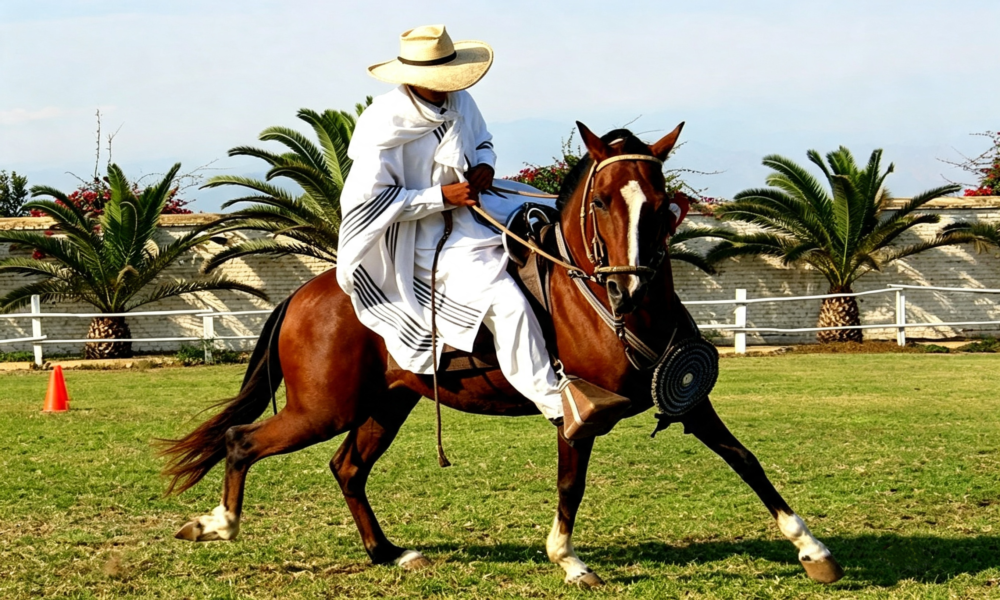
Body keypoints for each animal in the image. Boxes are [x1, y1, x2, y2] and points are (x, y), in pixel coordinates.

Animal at [160, 122, 844, 588]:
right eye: (602, 201)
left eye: (660, 201)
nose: (630, 288)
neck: (600, 304)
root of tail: (309, 291)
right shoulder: (577, 415)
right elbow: (572, 484)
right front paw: (568, 560)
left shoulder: (686, 399)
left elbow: (745, 460)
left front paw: (811, 548)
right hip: (322, 408)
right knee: (243, 442)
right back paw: (216, 524)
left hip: (385, 405)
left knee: (347, 468)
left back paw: (389, 553)